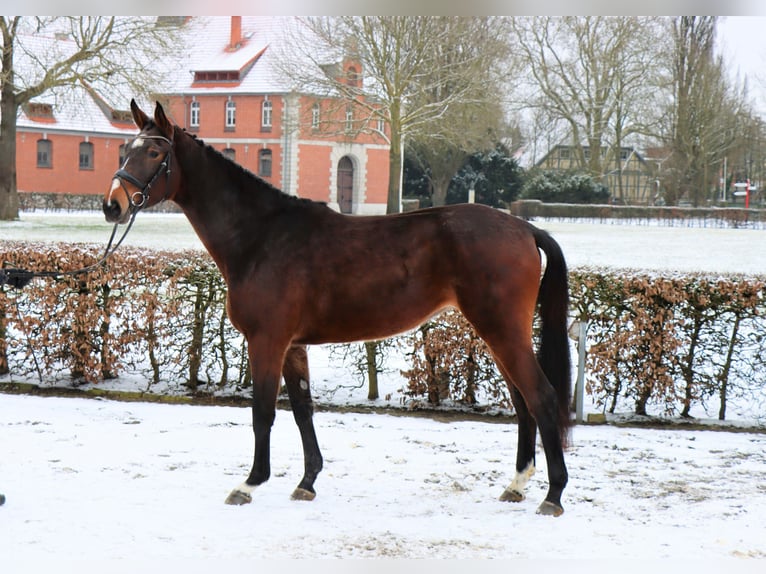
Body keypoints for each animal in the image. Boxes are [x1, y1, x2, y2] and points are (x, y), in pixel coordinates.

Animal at [102, 101, 572, 520]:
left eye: (155, 153)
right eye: (124, 150)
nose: (113, 205)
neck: (261, 236)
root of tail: (523, 227)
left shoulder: (266, 341)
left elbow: (263, 412)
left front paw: (250, 484)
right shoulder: (293, 346)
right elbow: (303, 410)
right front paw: (306, 482)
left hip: (502, 331)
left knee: (542, 397)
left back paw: (553, 495)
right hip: (497, 334)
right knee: (522, 402)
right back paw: (517, 485)